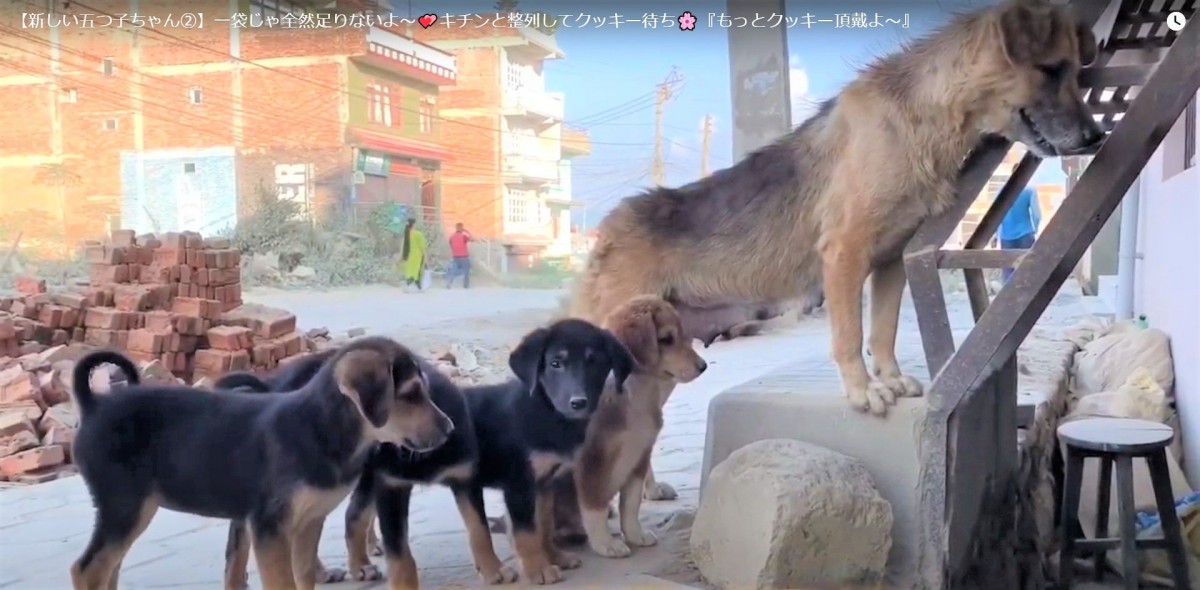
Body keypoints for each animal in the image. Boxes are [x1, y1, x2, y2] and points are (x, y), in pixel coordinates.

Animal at [69, 338, 453, 590]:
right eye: (410, 394)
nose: (450, 429)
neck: (320, 427)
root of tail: (94, 406)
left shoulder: (308, 522)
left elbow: (304, 577)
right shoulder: (269, 528)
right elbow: (283, 583)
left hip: (128, 513)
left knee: (108, 568)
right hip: (125, 506)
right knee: (85, 570)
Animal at [566, 0, 1099, 417]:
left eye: (1076, 72)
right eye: (1051, 69)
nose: (1095, 138)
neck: (922, 116)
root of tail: (605, 232)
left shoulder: (890, 261)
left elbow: (882, 331)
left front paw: (890, 378)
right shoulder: (845, 253)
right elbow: (849, 335)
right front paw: (863, 392)